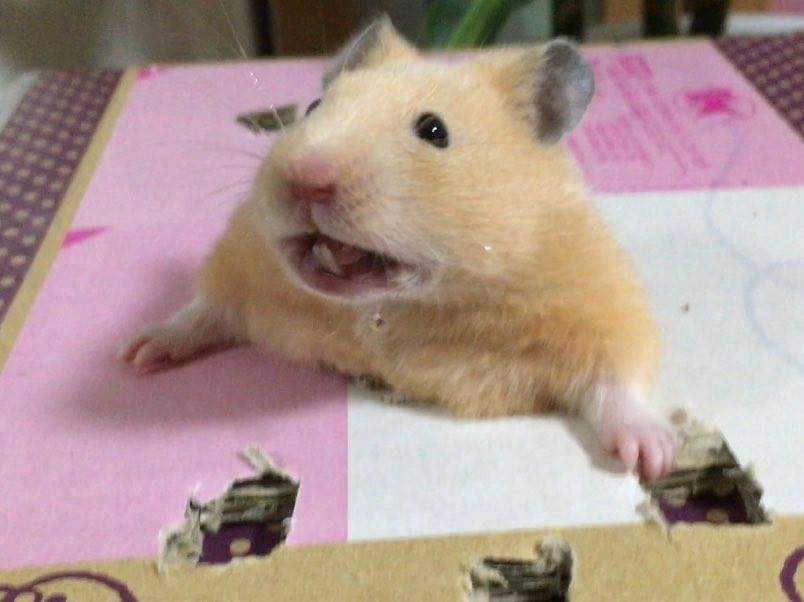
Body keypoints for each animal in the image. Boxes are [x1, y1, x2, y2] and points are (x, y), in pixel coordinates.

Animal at [120, 16, 677, 481]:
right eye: (314, 108)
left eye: (433, 131)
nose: (305, 178)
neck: (393, 308)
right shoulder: (242, 259)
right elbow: (203, 311)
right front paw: (138, 353)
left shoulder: (601, 304)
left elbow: (618, 381)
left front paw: (654, 460)